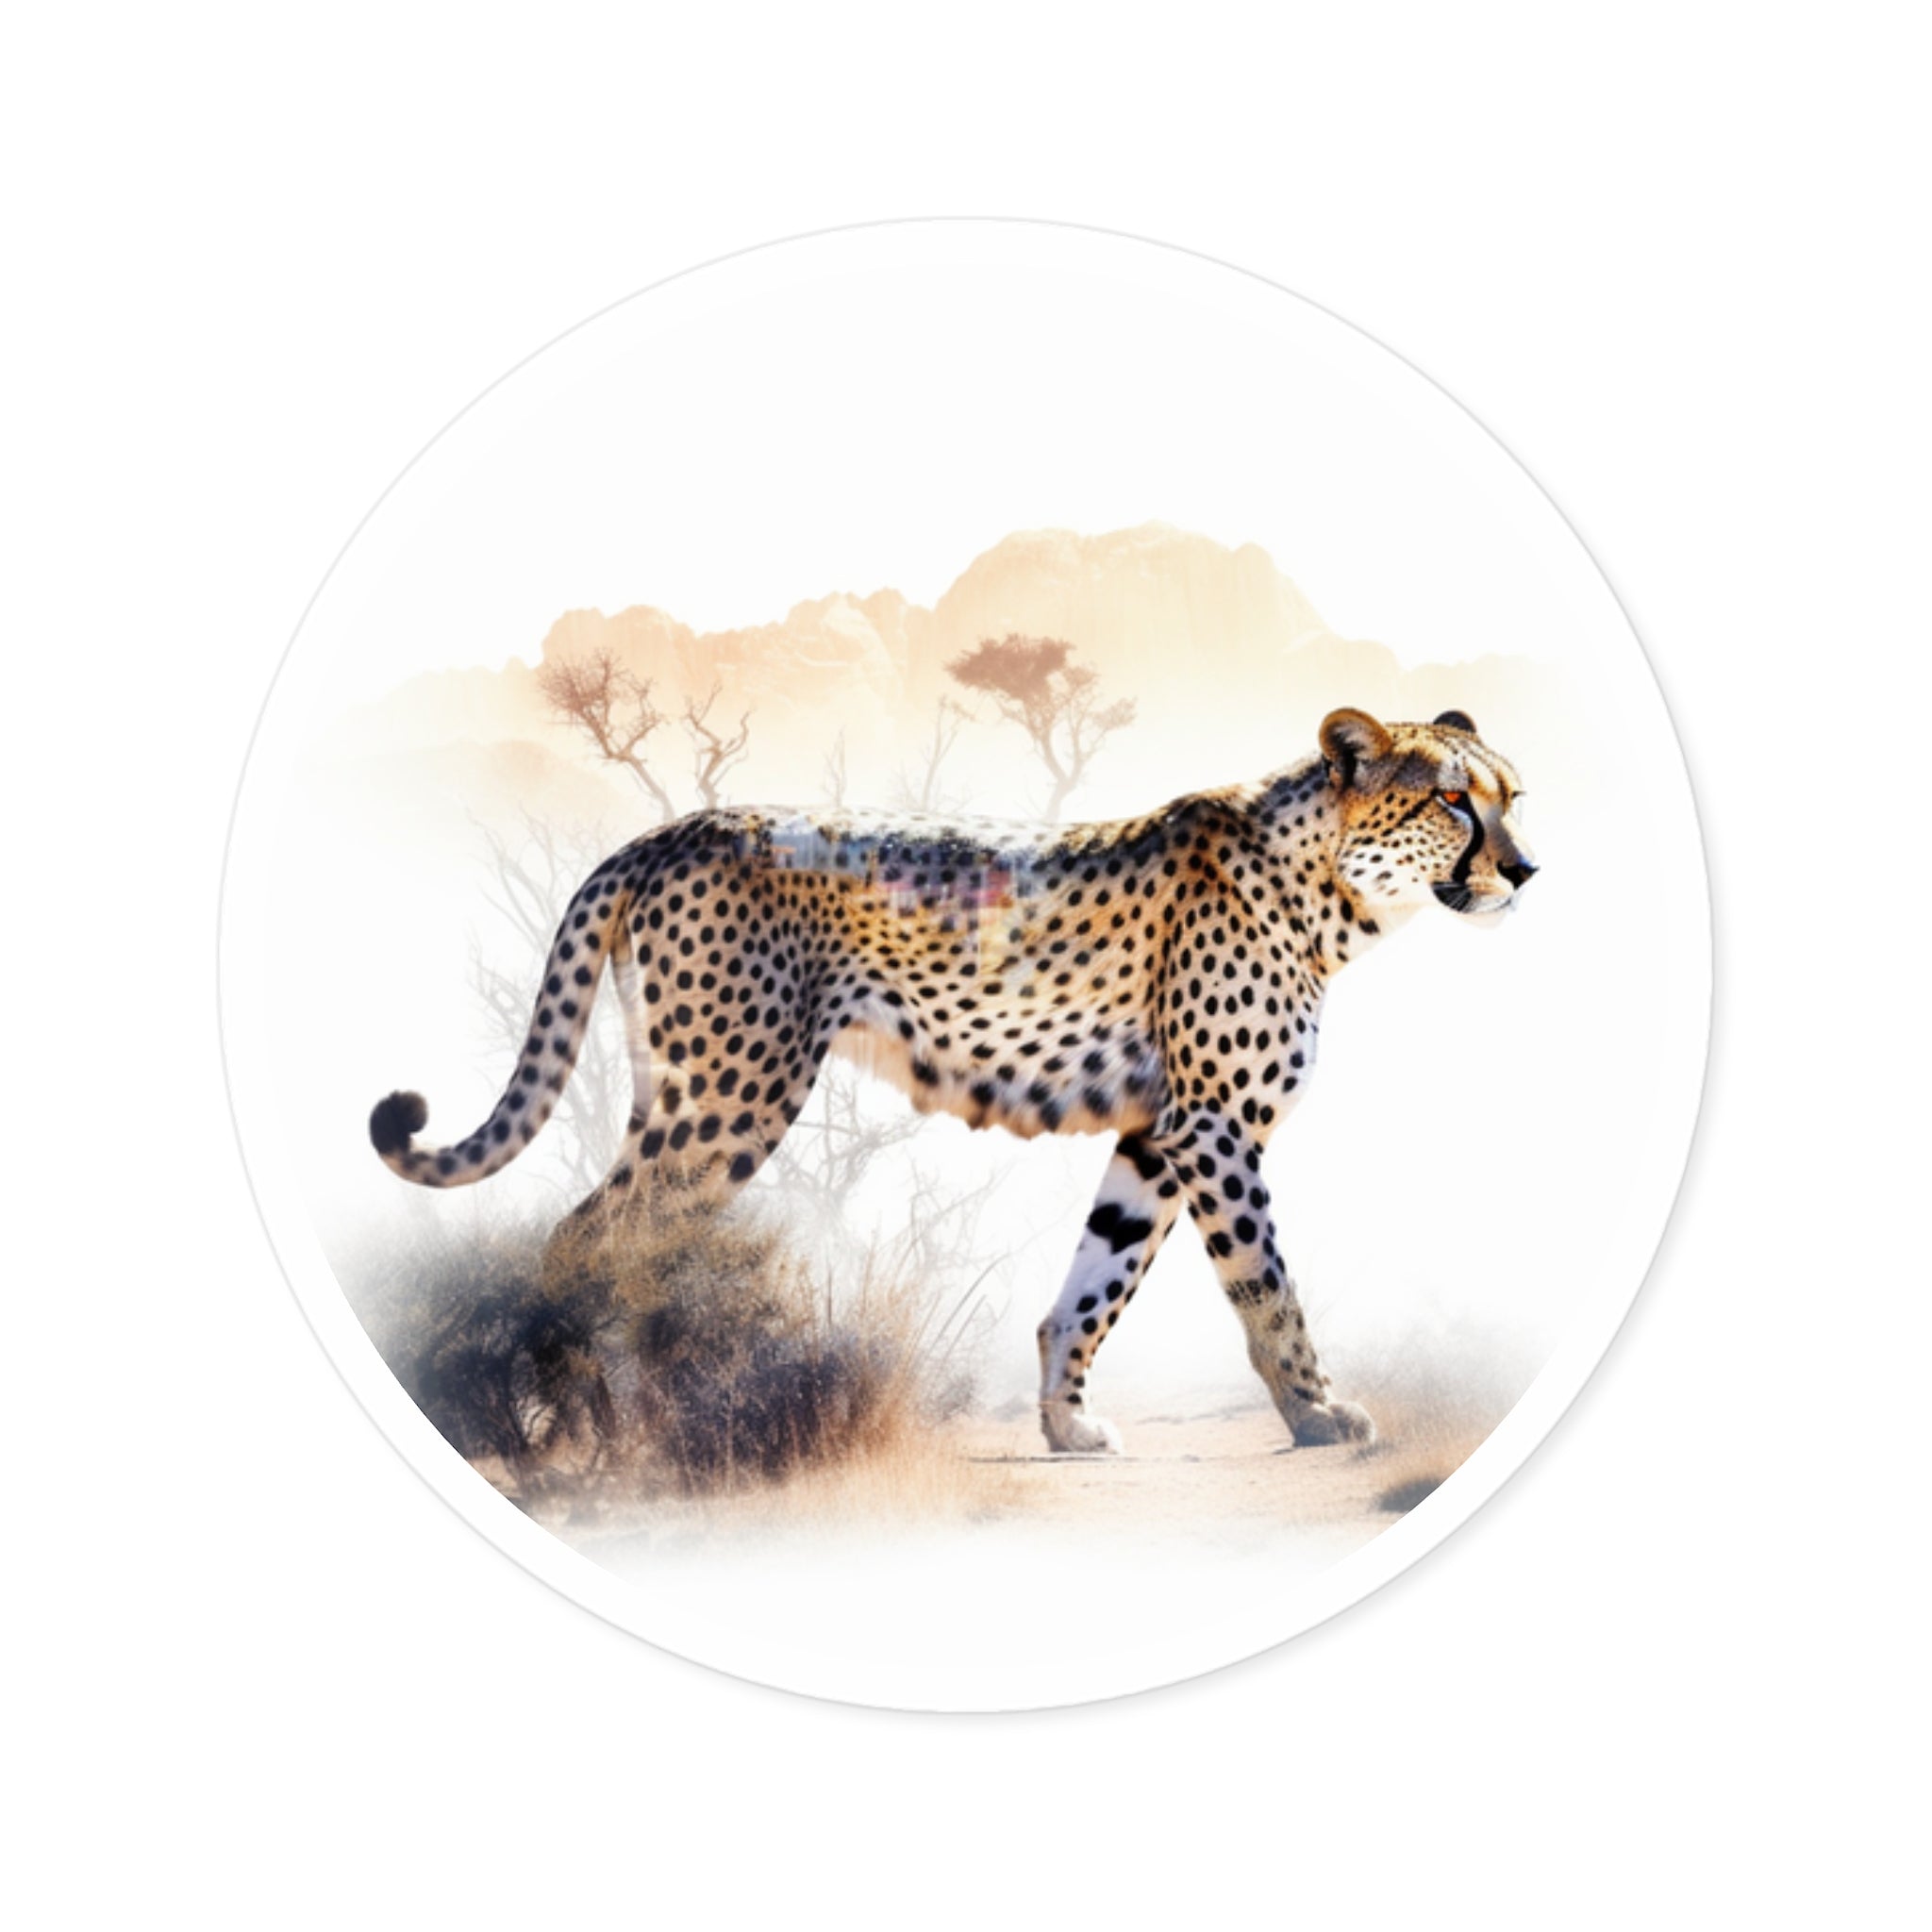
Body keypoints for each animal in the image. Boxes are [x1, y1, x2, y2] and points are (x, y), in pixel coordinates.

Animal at [370, 705, 1537, 1454]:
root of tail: (670, 826)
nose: (1522, 869)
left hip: (683, 1089)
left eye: (1510, 795)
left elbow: (1097, 1280)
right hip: (731, 1094)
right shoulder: (1212, 1124)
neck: (1328, 888)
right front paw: (1317, 1414)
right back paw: (604, 1425)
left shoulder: (1155, 1132)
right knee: (594, 1236)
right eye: (1448, 801)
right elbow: (1264, 1280)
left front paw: (1065, 1420)